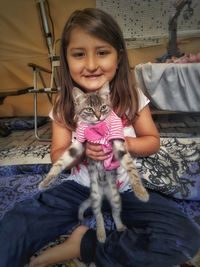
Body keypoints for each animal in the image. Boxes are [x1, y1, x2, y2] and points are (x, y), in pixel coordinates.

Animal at [39, 82, 148, 244]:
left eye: (103, 107)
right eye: (89, 109)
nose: (98, 116)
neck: (96, 129)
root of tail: (103, 194)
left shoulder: (117, 143)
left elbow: (130, 167)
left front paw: (140, 191)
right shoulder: (79, 143)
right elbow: (61, 161)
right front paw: (46, 181)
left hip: (115, 197)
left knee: (115, 212)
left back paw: (120, 227)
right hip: (95, 197)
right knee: (98, 215)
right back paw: (101, 233)